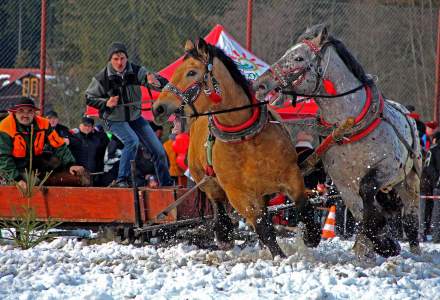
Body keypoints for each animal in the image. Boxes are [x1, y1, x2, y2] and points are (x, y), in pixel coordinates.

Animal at [151, 38, 320, 256]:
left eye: (191, 72)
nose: (158, 108)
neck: (246, 138)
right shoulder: (238, 194)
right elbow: (263, 228)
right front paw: (279, 256)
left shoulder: (291, 175)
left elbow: (303, 205)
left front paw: (311, 236)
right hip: (207, 181)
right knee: (218, 203)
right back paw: (223, 235)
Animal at [254, 24, 422, 258]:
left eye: (298, 58)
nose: (260, 84)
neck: (351, 129)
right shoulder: (343, 185)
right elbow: (362, 215)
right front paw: (377, 244)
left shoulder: (386, 166)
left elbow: (367, 191)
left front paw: (384, 241)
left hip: (409, 180)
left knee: (411, 219)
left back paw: (414, 251)